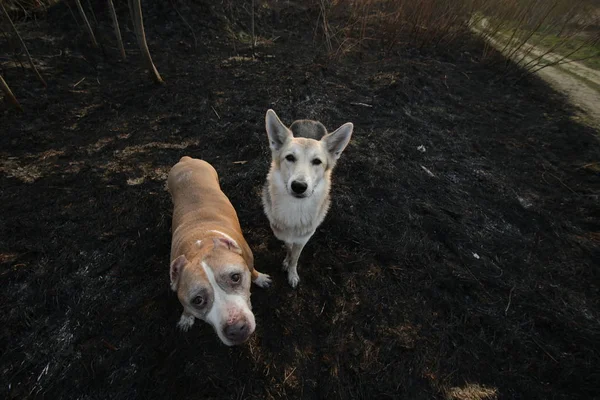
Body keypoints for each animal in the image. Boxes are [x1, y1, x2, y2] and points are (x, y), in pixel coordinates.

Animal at [262, 108, 352, 286]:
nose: (298, 186)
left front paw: (291, 272)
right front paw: (286, 261)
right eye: (290, 157)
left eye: (317, 161)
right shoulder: (284, 236)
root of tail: (309, 120)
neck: (296, 210)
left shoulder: (303, 239)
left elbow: (295, 257)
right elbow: (289, 248)